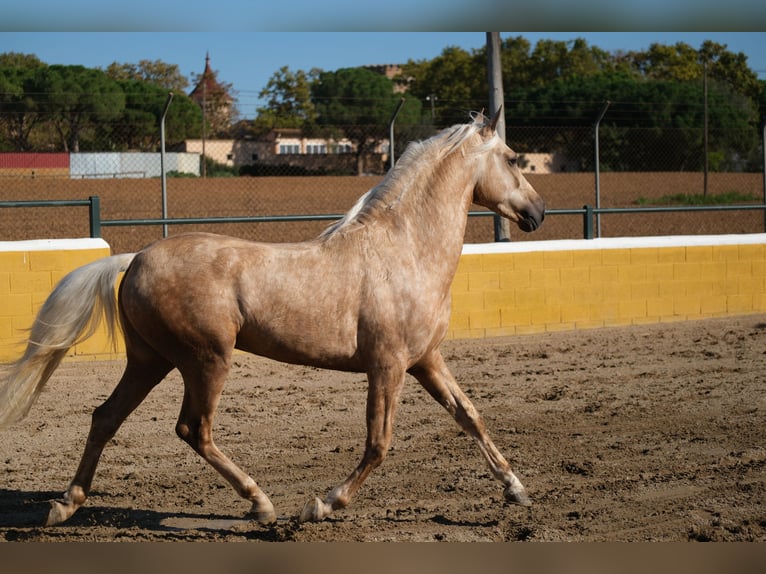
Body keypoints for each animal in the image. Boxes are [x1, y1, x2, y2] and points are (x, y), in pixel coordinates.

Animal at [0, 108, 544, 528]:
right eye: (513, 158)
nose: (538, 212)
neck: (404, 250)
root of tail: (135, 258)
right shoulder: (387, 366)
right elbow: (378, 443)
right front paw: (321, 505)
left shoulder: (426, 360)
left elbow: (470, 416)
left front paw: (516, 489)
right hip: (205, 359)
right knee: (193, 429)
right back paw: (261, 505)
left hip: (151, 360)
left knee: (106, 417)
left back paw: (64, 506)